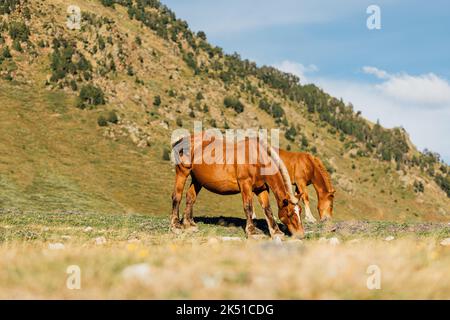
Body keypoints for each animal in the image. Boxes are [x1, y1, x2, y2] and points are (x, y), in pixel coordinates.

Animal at [171, 132, 304, 240]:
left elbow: (267, 209)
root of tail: (182, 140)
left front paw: (276, 232)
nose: (301, 234)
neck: (258, 158)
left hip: (197, 180)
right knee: (177, 196)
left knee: (190, 197)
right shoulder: (245, 184)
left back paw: (189, 224)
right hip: (182, 172)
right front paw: (252, 232)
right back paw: (176, 226)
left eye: (300, 211)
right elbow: (248, 207)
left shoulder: (261, 189)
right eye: (290, 213)